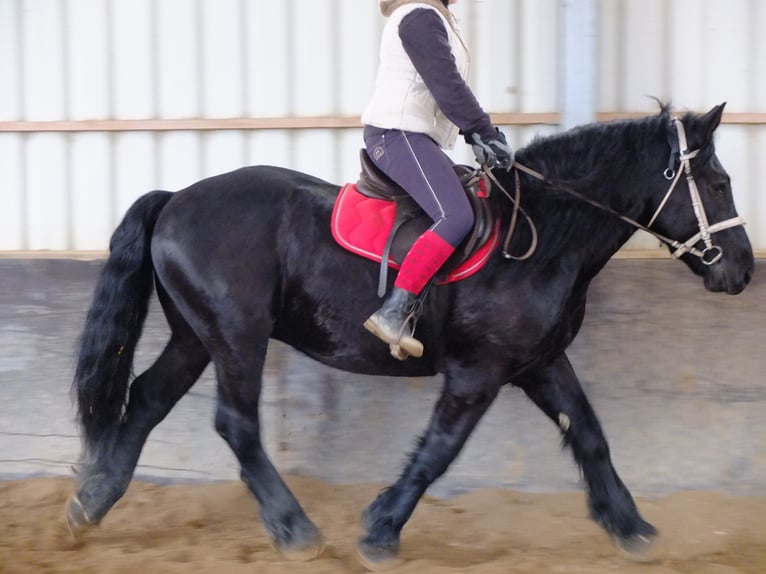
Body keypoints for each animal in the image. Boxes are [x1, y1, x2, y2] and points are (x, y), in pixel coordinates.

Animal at [67, 104, 756, 572]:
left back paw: (89, 505)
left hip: (196, 336)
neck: (540, 237)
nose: (742, 271)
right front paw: (379, 530)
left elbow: (588, 434)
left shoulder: (539, 361)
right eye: (719, 184)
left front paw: (631, 528)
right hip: (238, 337)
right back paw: (295, 531)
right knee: (235, 423)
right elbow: (439, 451)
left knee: (146, 401)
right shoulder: (480, 372)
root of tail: (175, 198)